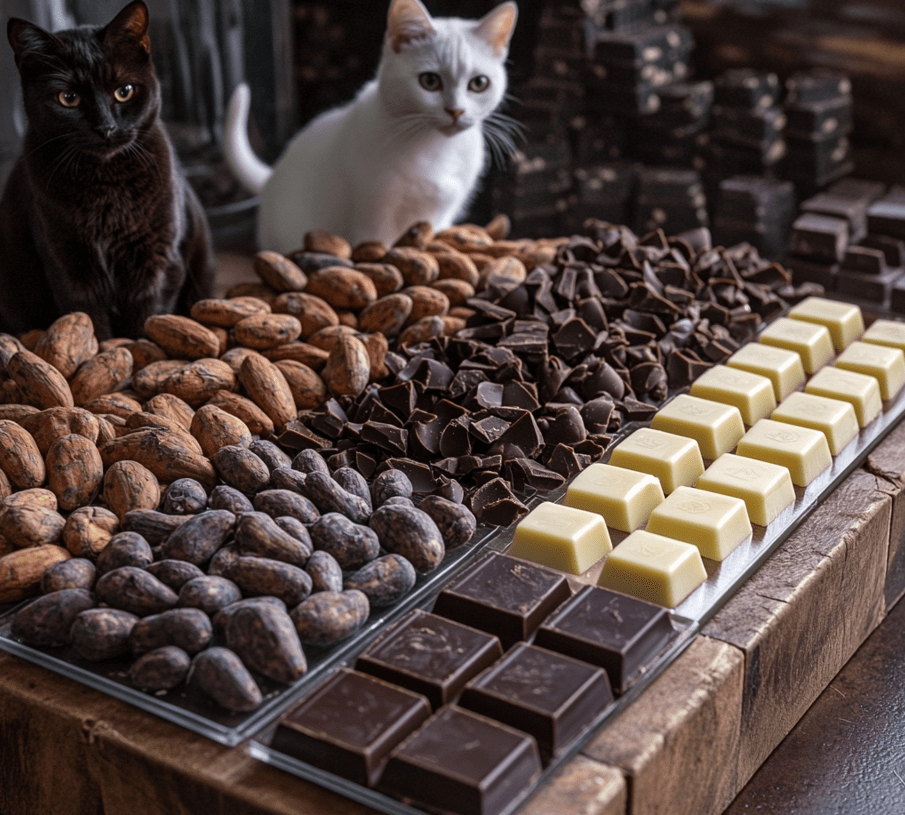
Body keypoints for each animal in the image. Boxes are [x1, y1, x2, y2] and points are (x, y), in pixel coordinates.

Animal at [0, 0, 214, 338]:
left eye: (124, 91)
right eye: (68, 98)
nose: (106, 127)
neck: (107, 186)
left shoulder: (159, 260)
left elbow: (148, 318)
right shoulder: (69, 265)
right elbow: (90, 321)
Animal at [224, 0, 516, 252]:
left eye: (479, 84)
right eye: (430, 81)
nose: (456, 110)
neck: (434, 146)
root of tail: (270, 180)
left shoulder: (439, 214)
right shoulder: (373, 214)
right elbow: (377, 246)